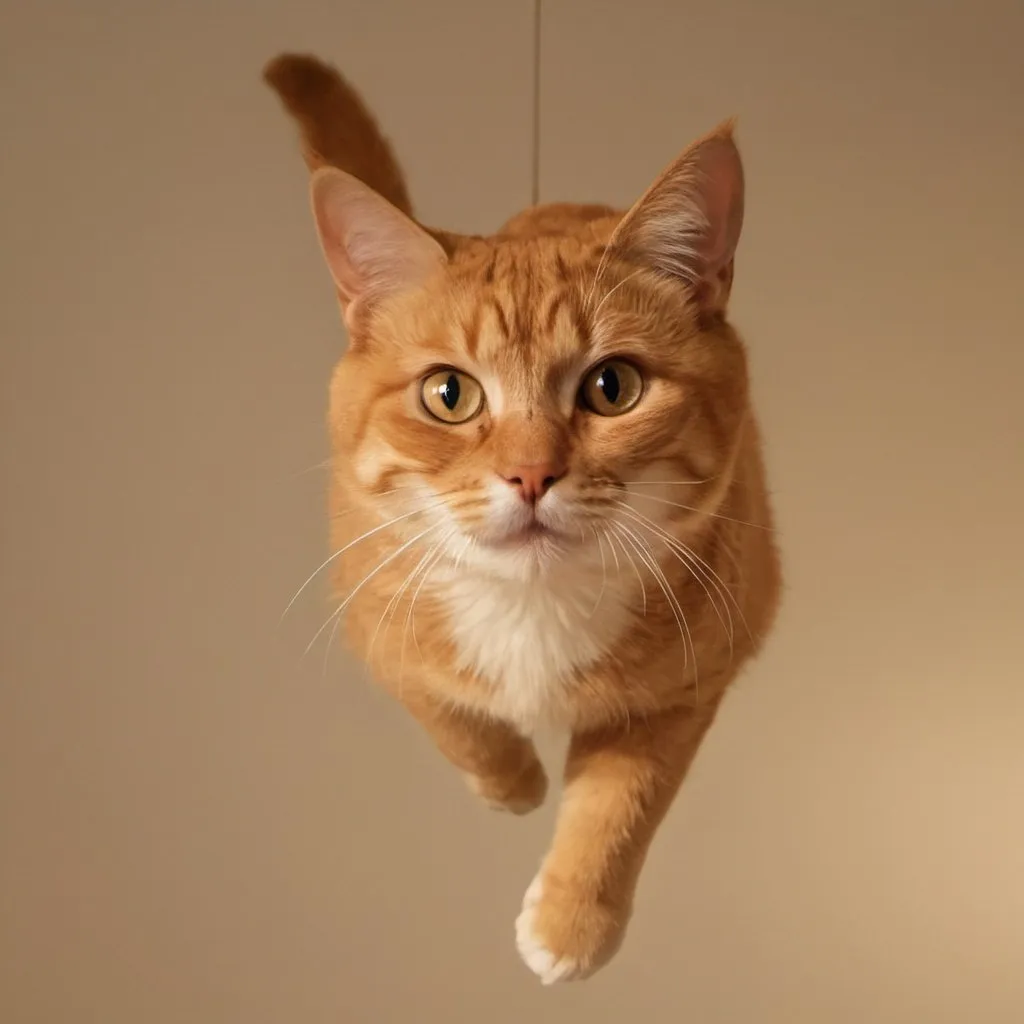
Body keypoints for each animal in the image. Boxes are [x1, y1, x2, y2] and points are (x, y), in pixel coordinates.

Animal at [264, 56, 782, 983]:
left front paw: (572, 926)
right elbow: (448, 714)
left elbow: (623, 799)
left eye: (613, 387)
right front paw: (512, 785)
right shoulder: (374, 622)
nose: (531, 473)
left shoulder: (695, 673)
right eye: (449, 393)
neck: (533, 608)